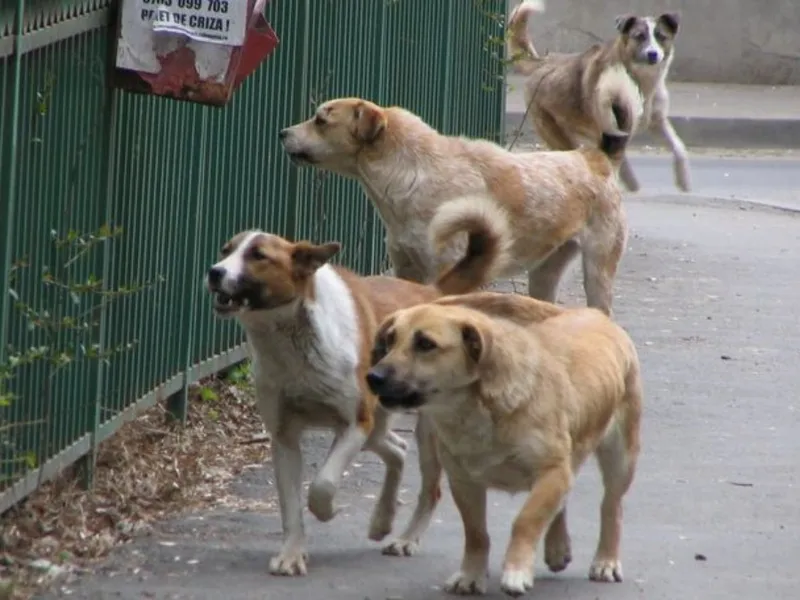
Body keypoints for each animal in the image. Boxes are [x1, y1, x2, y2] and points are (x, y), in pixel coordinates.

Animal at [282, 97, 632, 318]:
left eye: (321, 120)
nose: (282, 132)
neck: (412, 172)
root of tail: (595, 158)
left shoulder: (448, 269)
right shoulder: (405, 267)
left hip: (598, 271)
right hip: (544, 274)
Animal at [366, 290, 640, 596]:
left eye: (426, 344)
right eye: (390, 339)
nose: (373, 377)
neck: (477, 410)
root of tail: (595, 314)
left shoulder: (552, 473)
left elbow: (526, 520)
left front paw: (517, 570)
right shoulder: (464, 482)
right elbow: (476, 534)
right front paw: (471, 575)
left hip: (621, 457)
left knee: (611, 507)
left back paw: (606, 559)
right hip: (429, 444)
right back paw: (557, 547)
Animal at [506, 0, 688, 192]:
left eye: (661, 36)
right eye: (639, 36)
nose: (653, 54)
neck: (641, 81)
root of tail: (545, 61)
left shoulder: (657, 122)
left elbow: (679, 148)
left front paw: (683, 179)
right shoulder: (613, 128)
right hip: (556, 132)